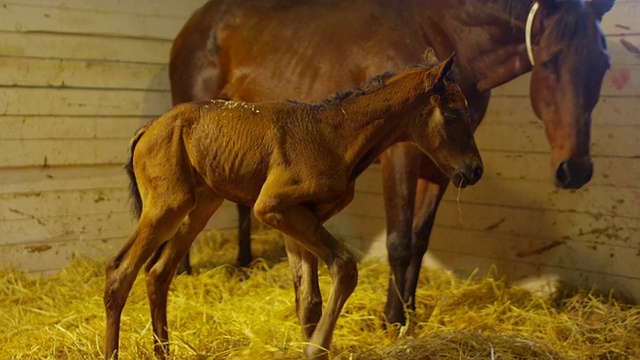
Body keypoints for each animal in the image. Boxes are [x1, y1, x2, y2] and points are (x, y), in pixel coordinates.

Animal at [104, 52, 480, 358]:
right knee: (121, 270)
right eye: (452, 113)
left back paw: (163, 352)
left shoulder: (299, 218)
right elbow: (344, 266)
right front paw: (316, 349)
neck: (333, 136)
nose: (475, 170)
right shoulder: (272, 207)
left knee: (158, 273)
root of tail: (148, 128)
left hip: (198, 207)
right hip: (167, 205)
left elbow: (308, 301)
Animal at [169, 0, 616, 324]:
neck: (446, 31)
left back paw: (243, 264)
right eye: (551, 61)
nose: (576, 170)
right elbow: (398, 242)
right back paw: (182, 272)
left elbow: (419, 240)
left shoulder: (442, 167)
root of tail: (195, 24)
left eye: (604, 65)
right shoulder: (401, 157)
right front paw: (393, 318)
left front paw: (412, 310)